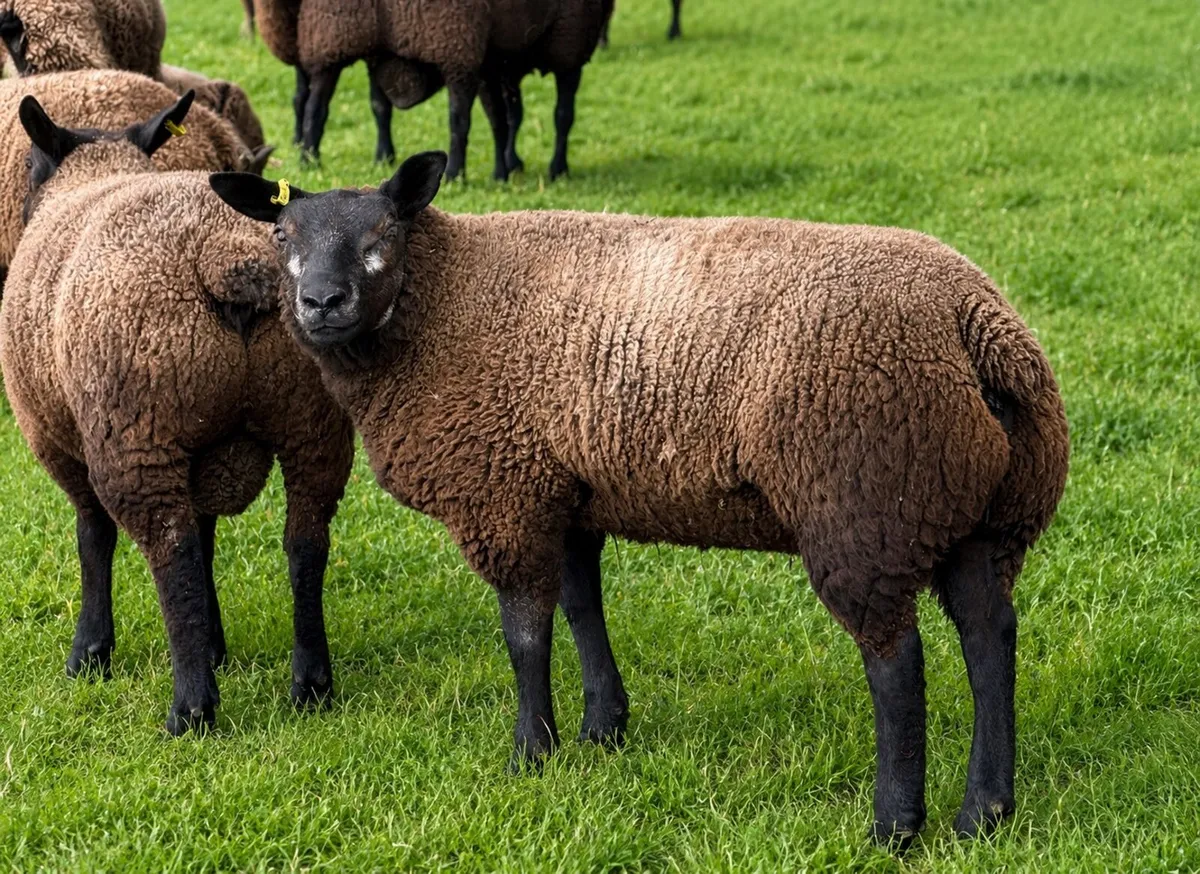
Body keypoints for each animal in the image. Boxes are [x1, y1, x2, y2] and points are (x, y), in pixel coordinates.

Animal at [0, 93, 354, 734]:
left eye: (31, 170)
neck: (94, 175)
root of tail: (231, 260)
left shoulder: (57, 440)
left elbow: (93, 538)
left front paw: (90, 652)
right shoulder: (202, 449)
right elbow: (210, 537)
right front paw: (215, 642)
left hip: (136, 430)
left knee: (173, 550)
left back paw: (191, 707)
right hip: (313, 424)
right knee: (306, 543)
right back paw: (311, 683)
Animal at [211, 152, 1070, 845]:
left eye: (385, 229)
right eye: (281, 235)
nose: (322, 302)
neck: (442, 303)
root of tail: (978, 326)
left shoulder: (505, 493)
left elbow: (524, 635)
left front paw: (531, 753)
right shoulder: (567, 488)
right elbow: (582, 608)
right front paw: (602, 729)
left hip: (866, 507)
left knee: (897, 665)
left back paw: (895, 825)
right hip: (981, 516)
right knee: (990, 638)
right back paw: (984, 814)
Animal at [253, 0, 610, 180]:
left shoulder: (457, 51)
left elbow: (458, 122)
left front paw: (454, 173)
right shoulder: (346, 43)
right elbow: (355, 108)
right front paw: (312, 159)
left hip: (570, 44)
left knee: (563, 114)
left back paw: (557, 168)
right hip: (507, 57)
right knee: (511, 115)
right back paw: (511, 163)